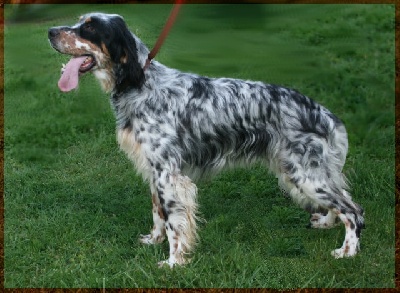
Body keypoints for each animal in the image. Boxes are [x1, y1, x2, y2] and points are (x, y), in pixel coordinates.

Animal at [48, 12, 364, 266]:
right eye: (79, 21)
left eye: (89, 27)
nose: (50, 31)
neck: (141, 85)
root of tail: (321, 111)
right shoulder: (154, 171)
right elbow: (157, 213)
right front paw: (153, 241)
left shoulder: (169, 176)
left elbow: (174, 222)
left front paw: (174, 262)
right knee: (343, 200)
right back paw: (327, 223)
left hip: (305, 174)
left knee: (353, 210)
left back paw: (347, 251)